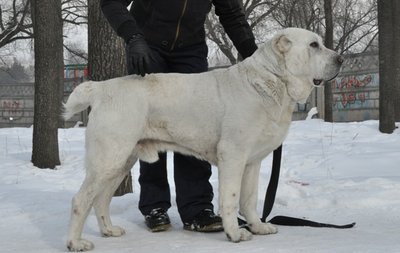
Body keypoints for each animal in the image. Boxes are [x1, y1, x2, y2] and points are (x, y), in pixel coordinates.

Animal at [64, 28, 342, 251]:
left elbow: (249, 199)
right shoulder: (232, 156)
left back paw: (108, 231)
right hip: (109, 159)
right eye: (313, 45)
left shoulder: (252, 162)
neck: (271, 81)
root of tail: (101, 88)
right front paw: (235, 234)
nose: (340, 59)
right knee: (81, 200)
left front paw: (257, 227)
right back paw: (75, 243)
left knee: (100, 199)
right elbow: (230, 199)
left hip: (121, 162)